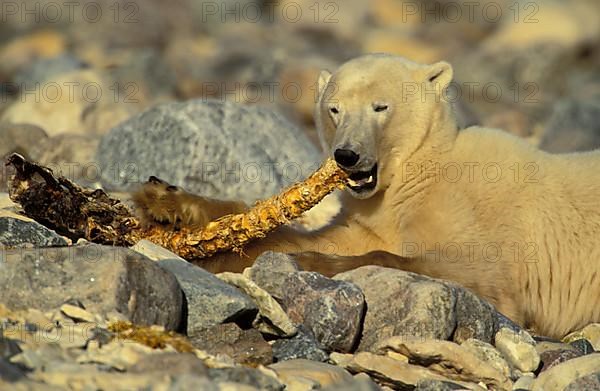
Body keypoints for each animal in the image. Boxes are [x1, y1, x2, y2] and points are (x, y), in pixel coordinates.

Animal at [134, 54, 600, 340]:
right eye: (334, 108)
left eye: (381, 107)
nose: (347, 155)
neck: (418, 173)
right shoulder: (371, 213)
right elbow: (311, 234)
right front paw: (169, 205)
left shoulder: (483, 229)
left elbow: (470, 272)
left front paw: (311, 264)